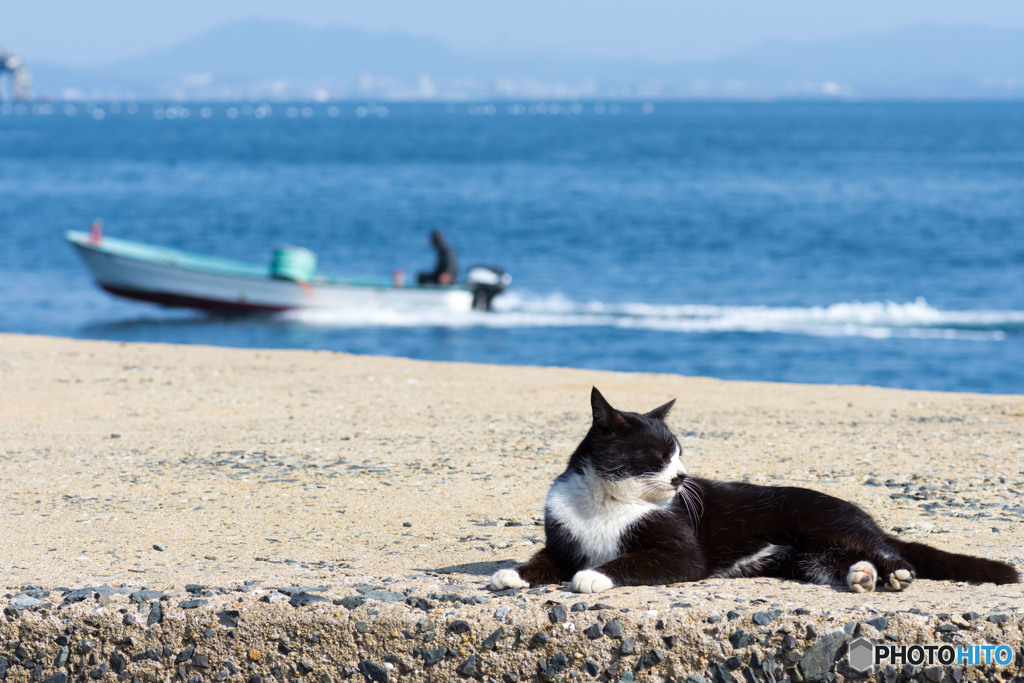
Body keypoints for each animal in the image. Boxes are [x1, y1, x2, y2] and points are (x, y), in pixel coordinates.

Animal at [491, 389, 1019, 593]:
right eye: (659, 455)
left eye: (679, 454)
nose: (682, 479)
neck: (609, 503)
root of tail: (861, 513)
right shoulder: (565, 537)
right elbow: (545, 559)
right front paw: (510, 574)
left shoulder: (682, 551)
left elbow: (632, 562)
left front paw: (593, 577)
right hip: (808, 556)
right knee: (843, 559)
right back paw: (862, 577)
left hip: (821, 521)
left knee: (887, 550)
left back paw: (895, 574)